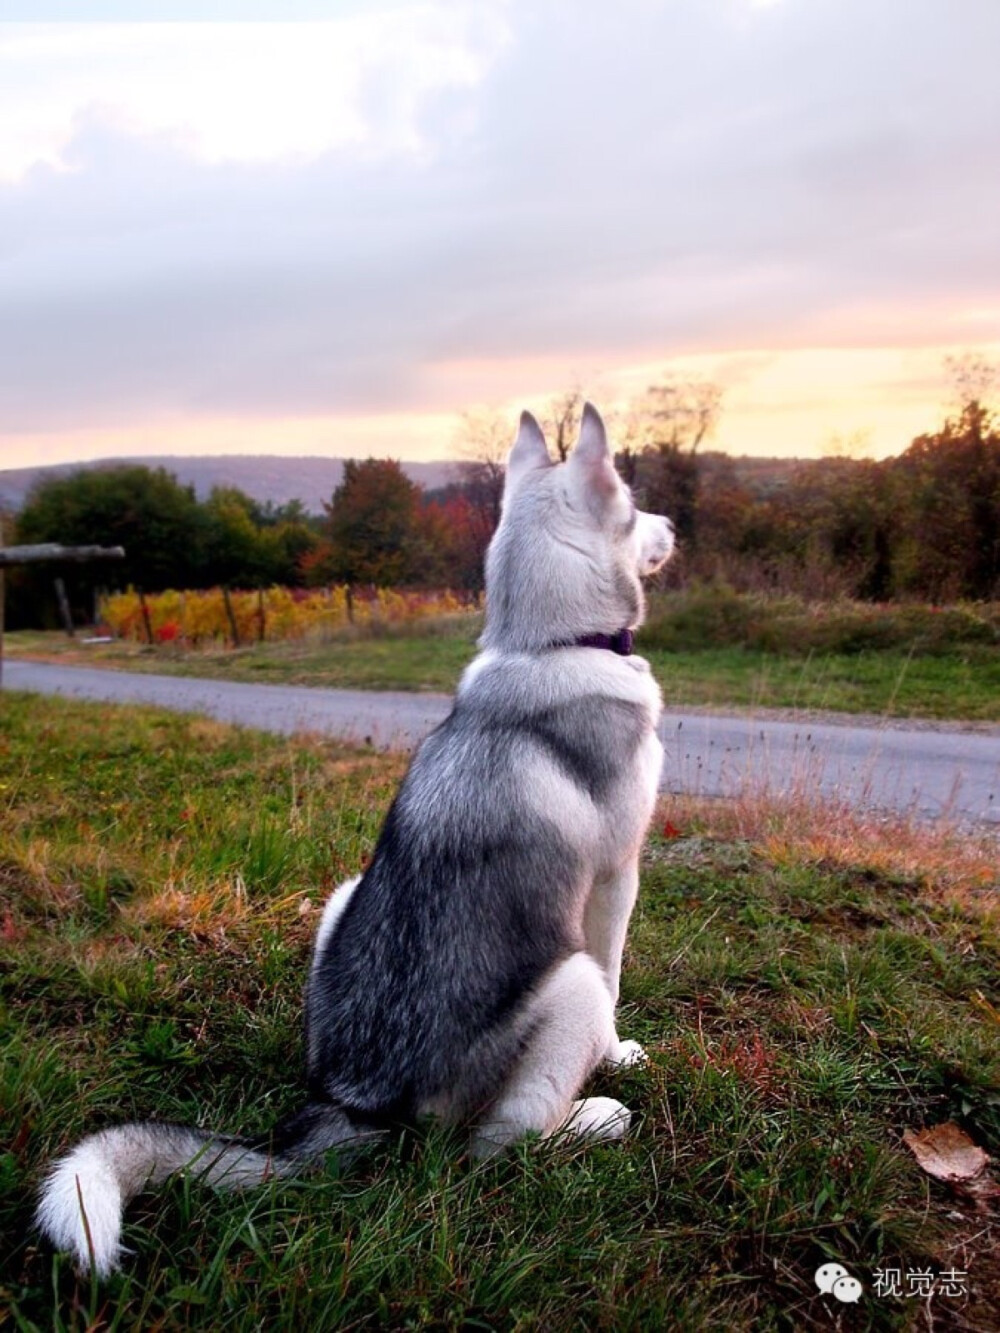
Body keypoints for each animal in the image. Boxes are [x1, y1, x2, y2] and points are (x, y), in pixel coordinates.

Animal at [41, 402, 682, 1269]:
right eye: (634, 505)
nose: (674, 524)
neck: (545, 647)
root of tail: (357, 1103)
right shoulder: (617, 877)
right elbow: (617, 982)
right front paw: (619, 1055)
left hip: (343, 895)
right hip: (564, 982)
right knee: (497, 1145)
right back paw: (593, 1118)